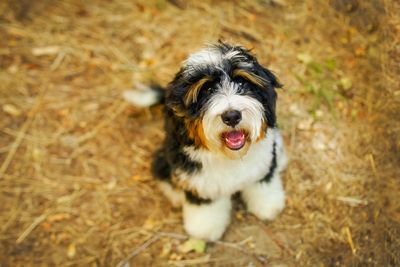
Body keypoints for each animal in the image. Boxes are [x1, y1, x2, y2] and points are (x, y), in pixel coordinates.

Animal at [125, 43, 288, 242]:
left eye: (242, 83)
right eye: (208, 91)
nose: (232, 116)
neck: (230, 157)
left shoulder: (262, 166)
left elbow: (263, 183)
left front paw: (268, 205)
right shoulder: (198, 180)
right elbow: (205, 206)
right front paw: (205, 229)